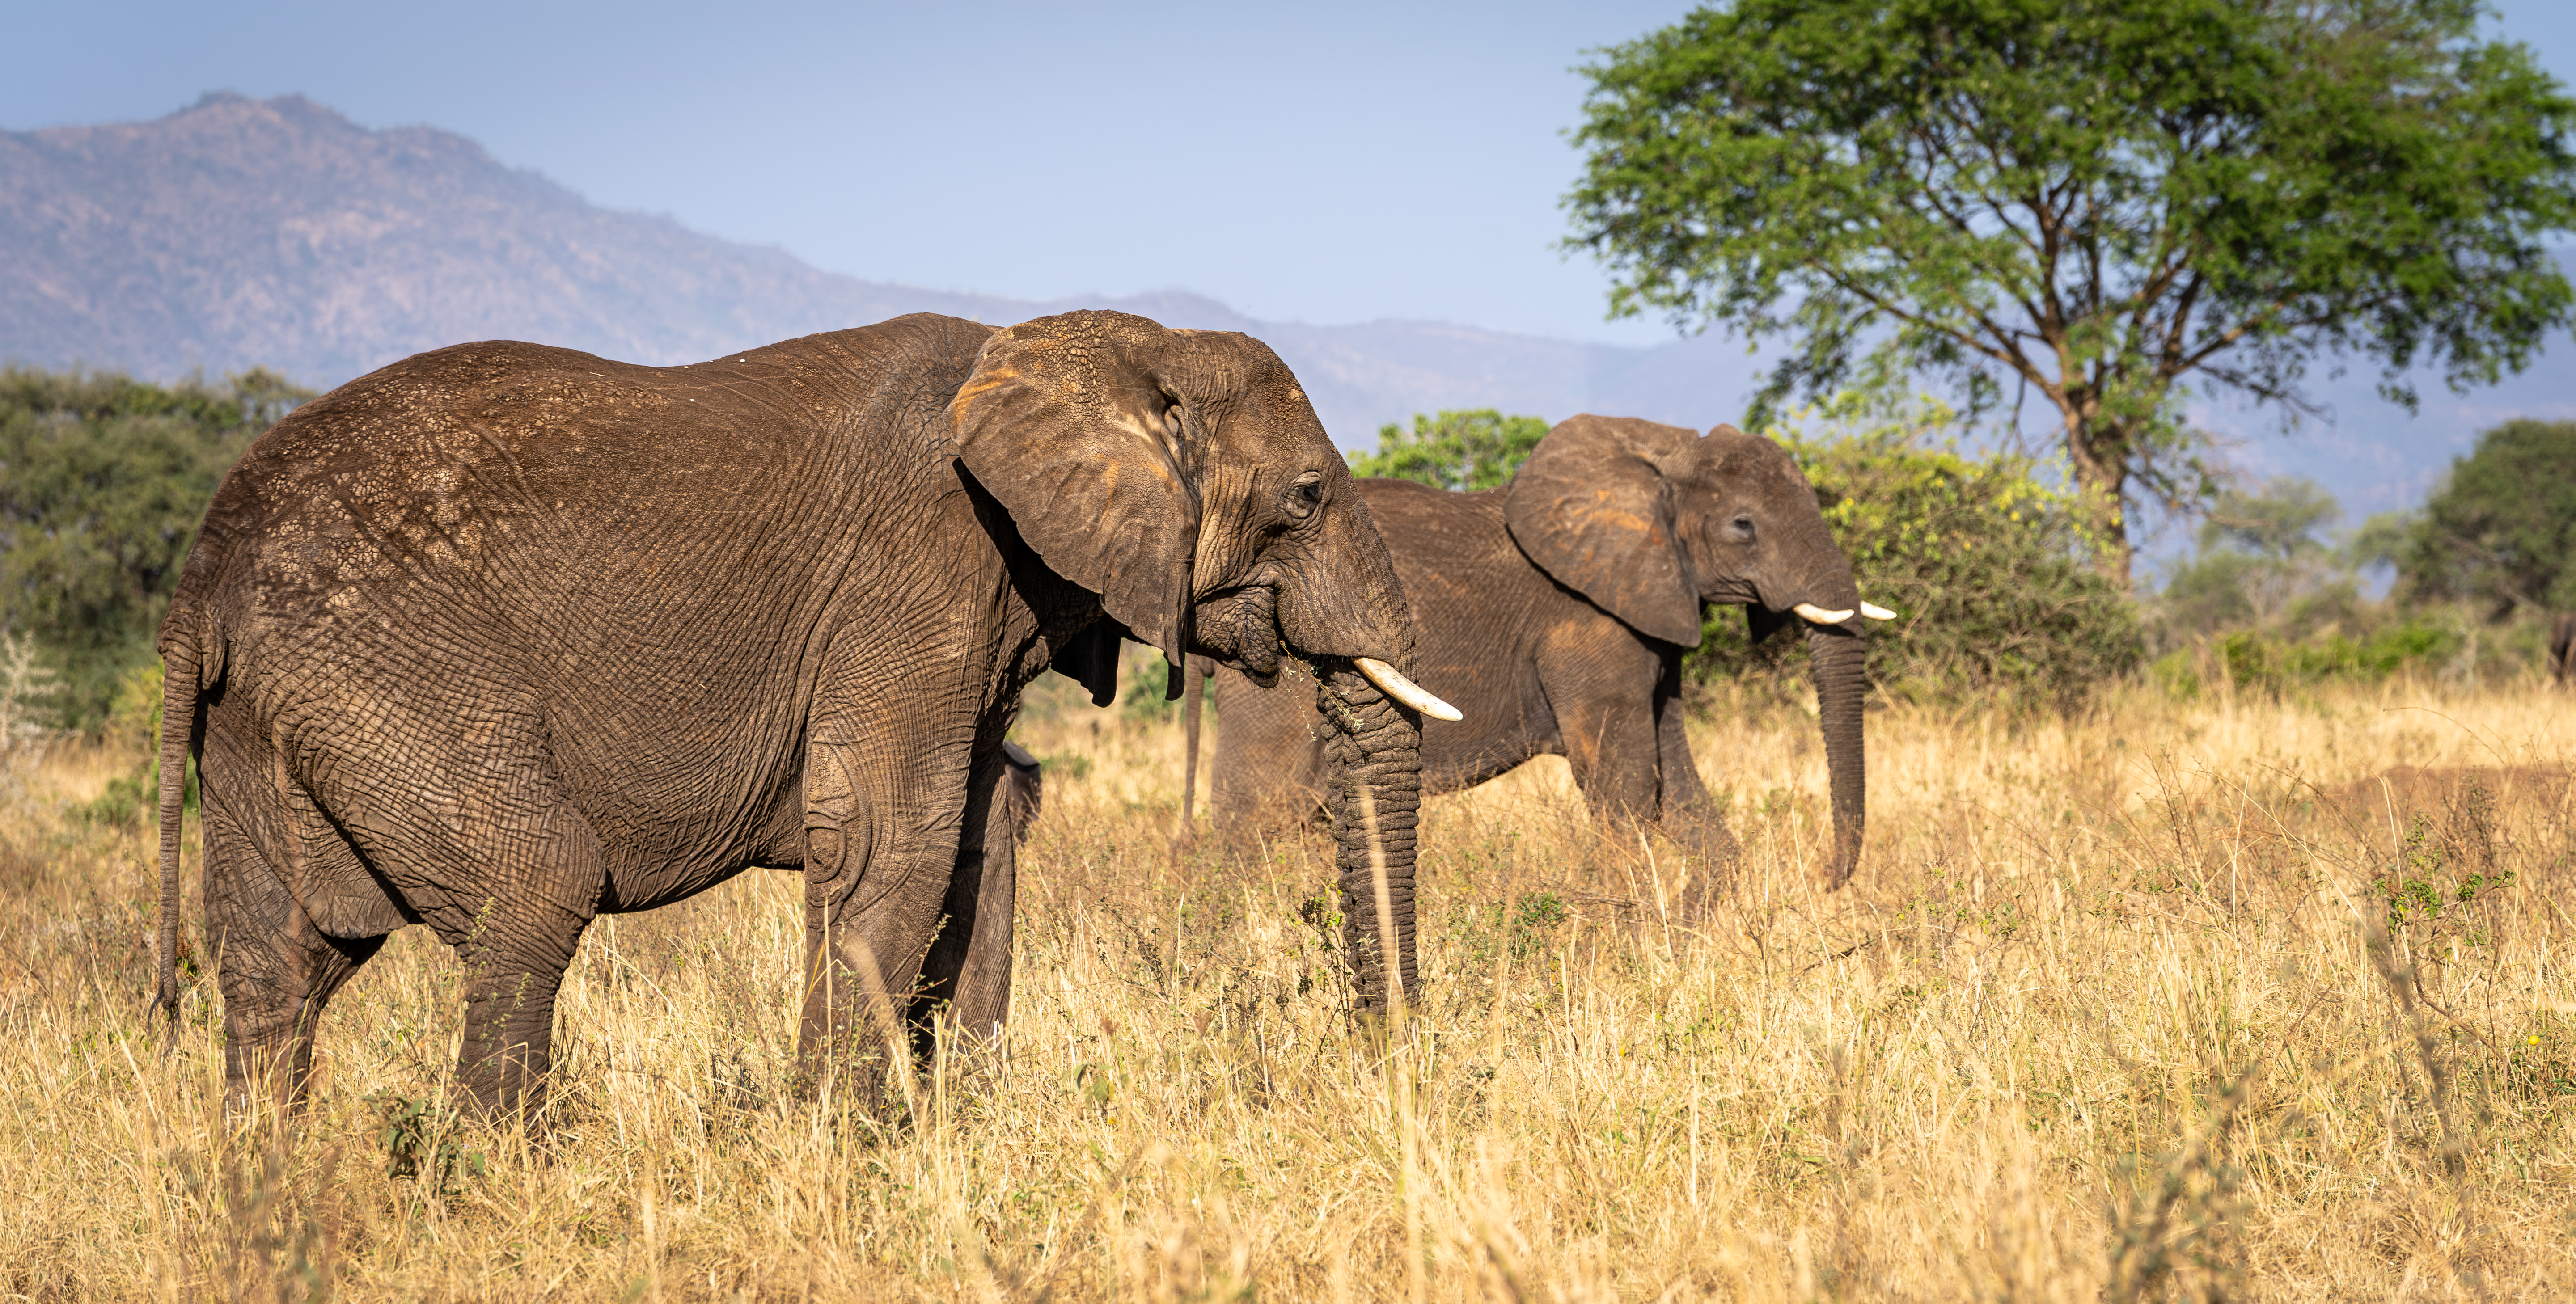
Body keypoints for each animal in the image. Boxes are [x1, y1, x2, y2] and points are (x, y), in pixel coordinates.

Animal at [150, 309, 1456, 1116]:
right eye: (1308, 496)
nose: (1389, 1061)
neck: (1108, 342)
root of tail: (204, 568)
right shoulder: (920, 573)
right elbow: (890, 840)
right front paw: (843, 1142)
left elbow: (987, 816)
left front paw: (949, 1118)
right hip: (390, 669)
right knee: (532, 886)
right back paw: (495, 1184)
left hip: (271, 713)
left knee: (281, 961)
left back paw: (269, 1196)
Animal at [1186, 415, 1878, 889]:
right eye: (1743, 527)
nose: (1825, 877)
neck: (1661, 450)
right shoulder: (1588, 624)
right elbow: (1625, 787)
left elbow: (1676, 783)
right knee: (1261, 805)